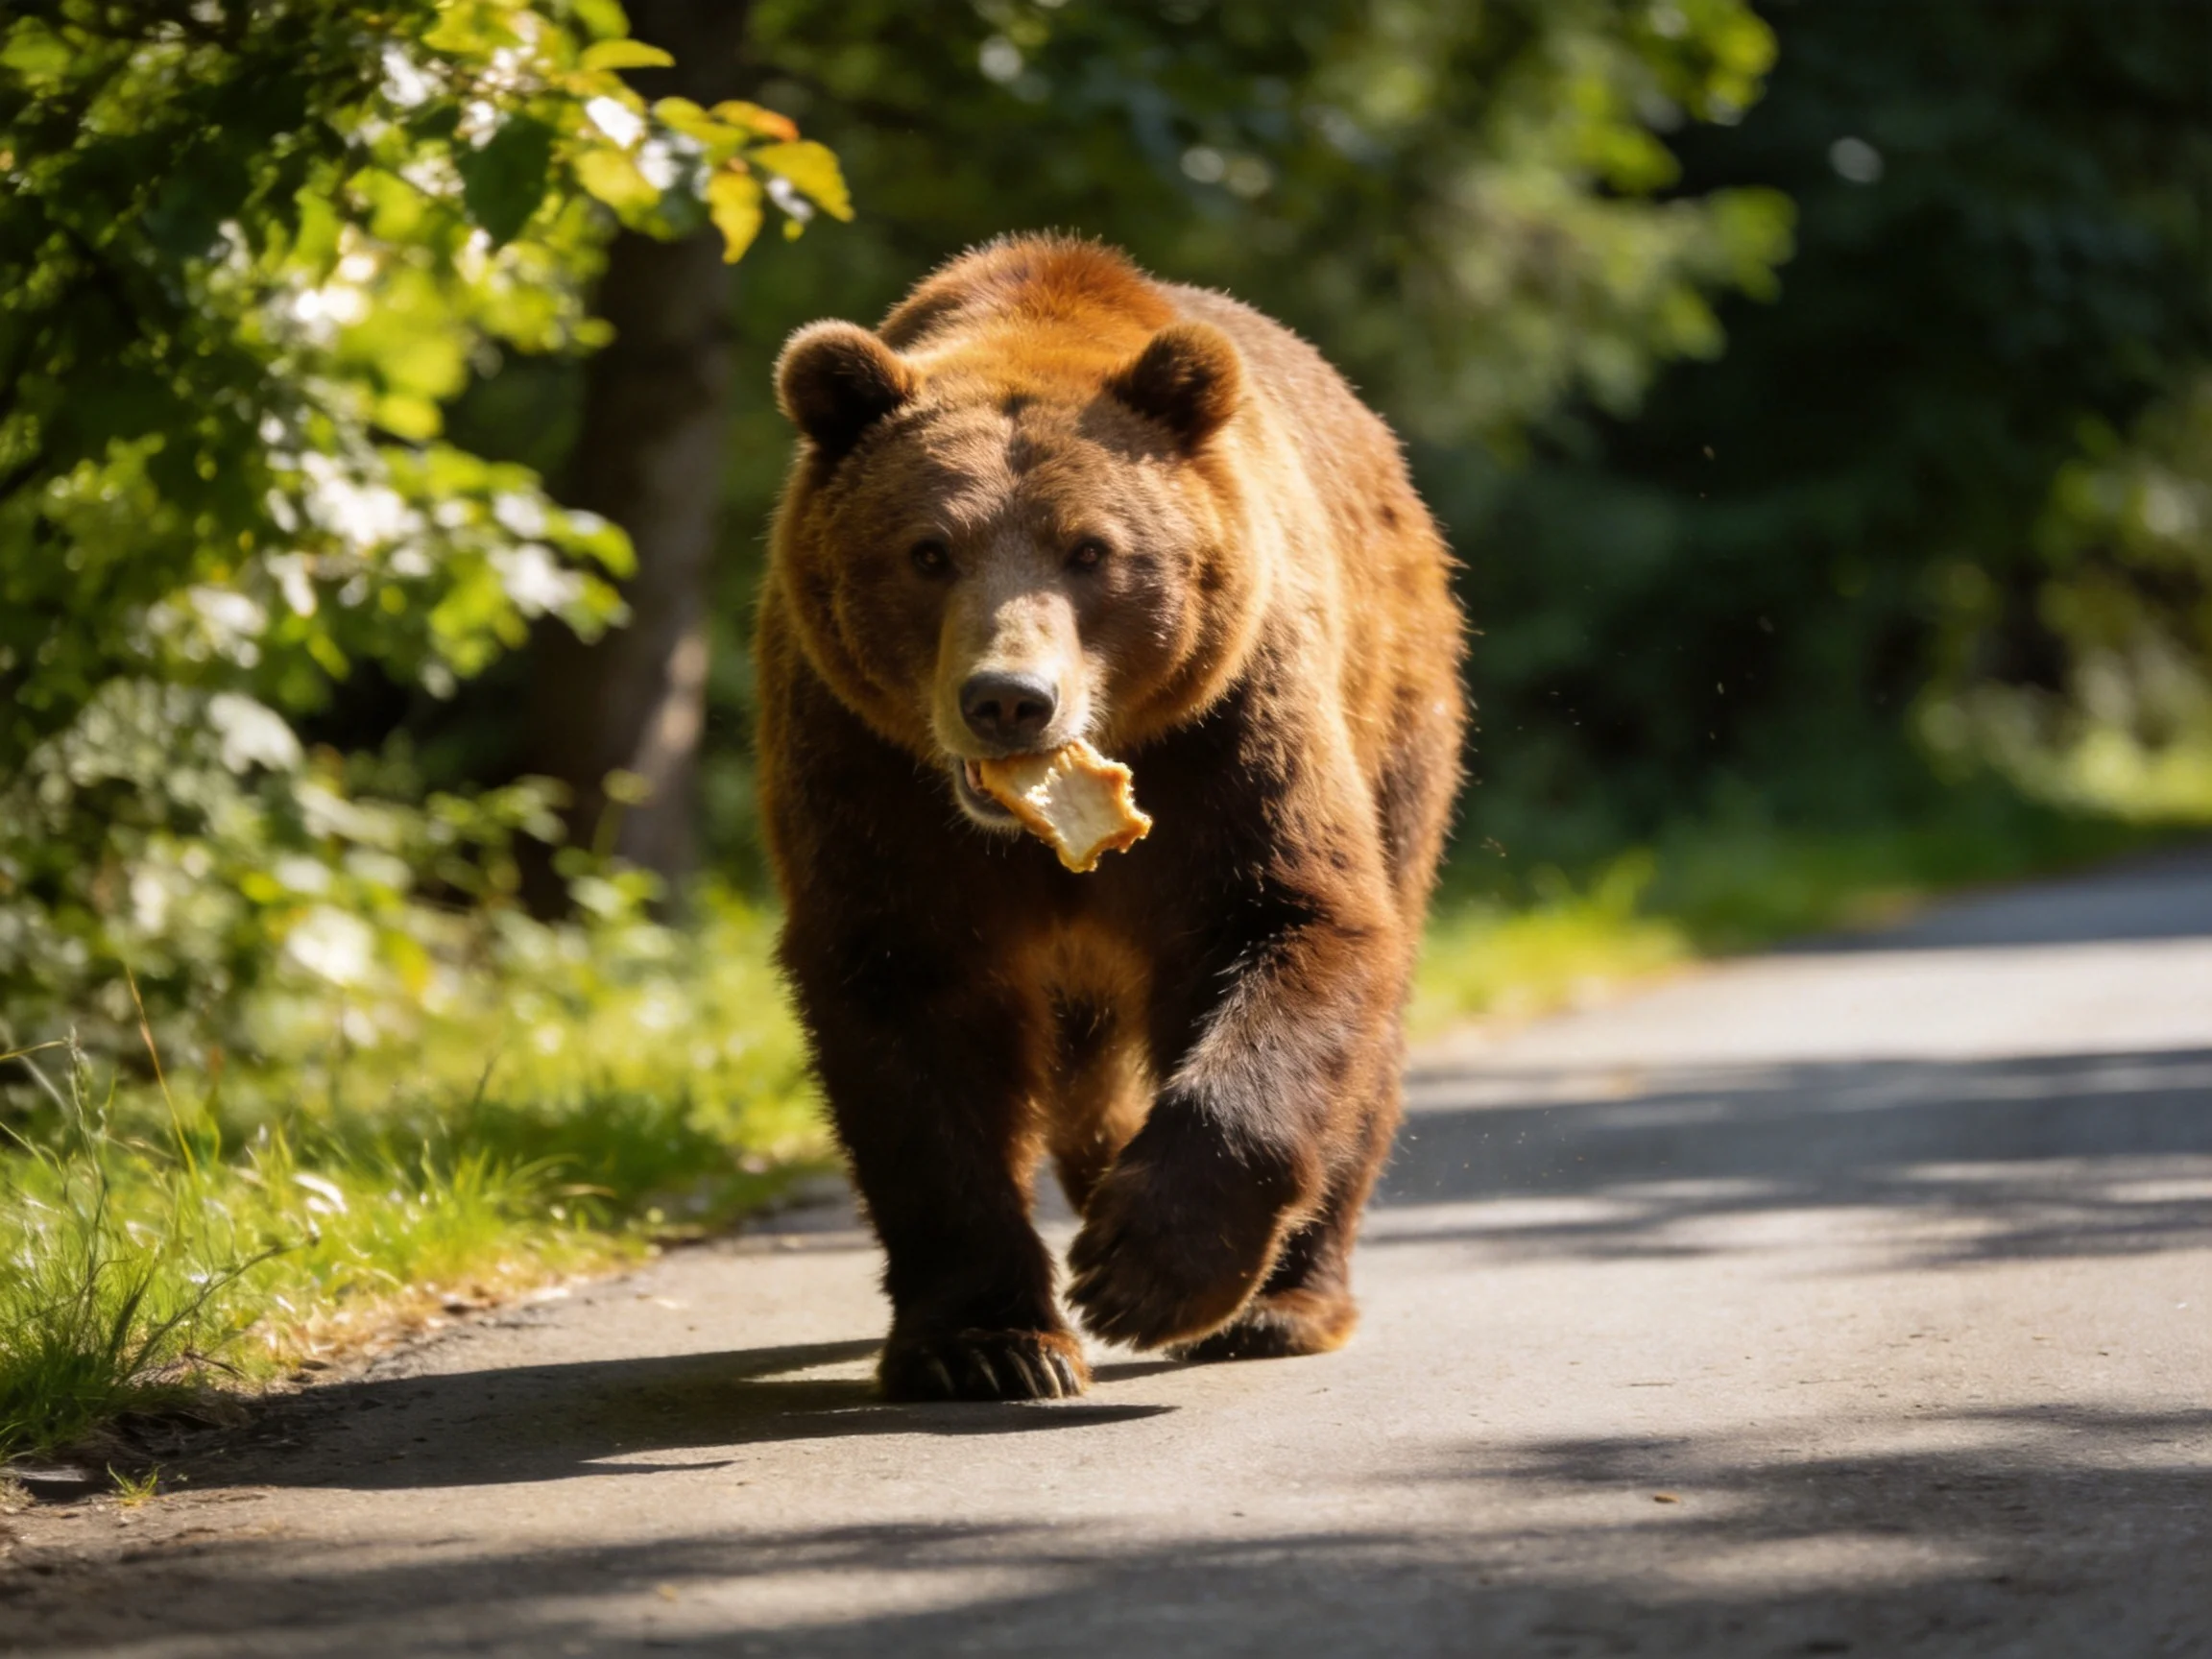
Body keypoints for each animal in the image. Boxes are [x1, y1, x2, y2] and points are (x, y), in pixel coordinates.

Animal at [756, 235, 1466, 1401]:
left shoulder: (1227, 733)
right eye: (927, 550)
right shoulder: (870, 773)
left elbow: (1287, 918)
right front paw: (989, 1342)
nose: (1008, 697)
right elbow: (910, 1009)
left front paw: (1145, 1270)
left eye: (1090, 549)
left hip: (1399, 706)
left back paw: (1284, 1301)